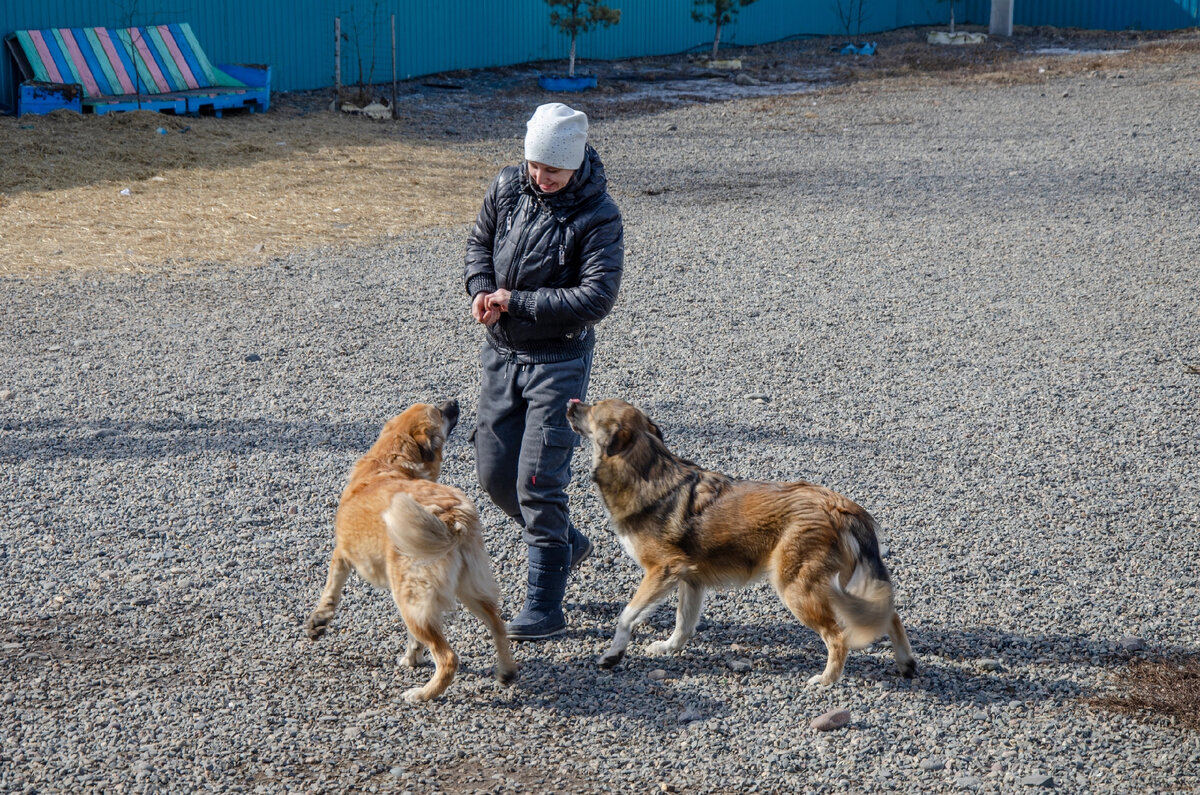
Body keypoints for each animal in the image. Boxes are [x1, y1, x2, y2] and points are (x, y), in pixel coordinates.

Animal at [304, 401, 516, 706]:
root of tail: (453, 519)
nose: (454, 402)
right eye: (439, 409)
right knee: (498, 625)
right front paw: (412, 657)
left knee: (449, 658)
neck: (389, 463)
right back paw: (506, 671)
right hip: (465, 588)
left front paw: (319, 620)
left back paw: (423, 694)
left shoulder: (343, 552)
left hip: (408, 596)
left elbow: (331, 588)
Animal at [566, 401, 912, 686]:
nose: (571, 403)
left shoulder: (663, 570)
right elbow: (684, 623)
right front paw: (668, 647)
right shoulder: (690, 578)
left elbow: (627, 616)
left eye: (593, 409)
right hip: (838, 583)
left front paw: (613, 654)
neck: (646, 470)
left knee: (838, 636)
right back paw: (906, 663)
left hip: (797, 587)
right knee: (889, 614)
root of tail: (841, 505)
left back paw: (826, 680)